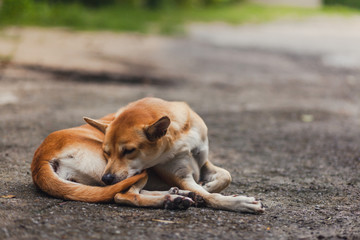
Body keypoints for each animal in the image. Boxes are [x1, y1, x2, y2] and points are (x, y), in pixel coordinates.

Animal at [32, 96, 264, 213]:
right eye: (106, 152)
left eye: (129, 150)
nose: (107, 178)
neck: (180, 136)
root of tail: (39, 159)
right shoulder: (180, 175)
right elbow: (212, 196)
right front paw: (239, 203)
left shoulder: (203, 160)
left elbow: (226, 175)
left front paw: (207, 186)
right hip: (135, 174)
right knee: (122, 195)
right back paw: (172, 199)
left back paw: (176, 196)